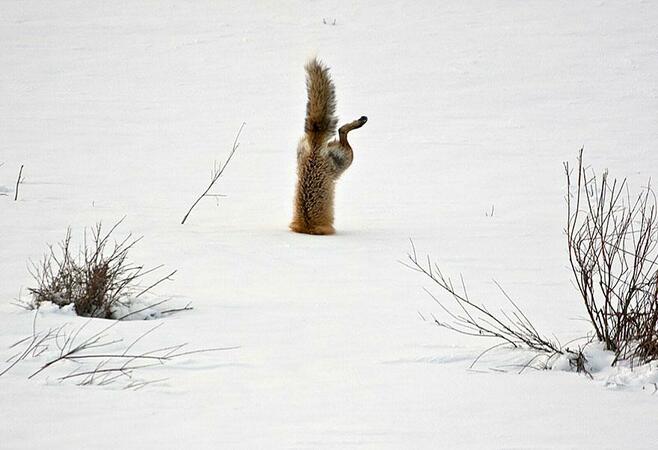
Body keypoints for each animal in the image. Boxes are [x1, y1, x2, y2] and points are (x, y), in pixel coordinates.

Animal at [290, 58, 366, 236]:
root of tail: (315, 145)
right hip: (345, 160)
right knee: (342, 130)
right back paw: (359, 122)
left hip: (345, 159)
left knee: (342, 130)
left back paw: (359, 122)